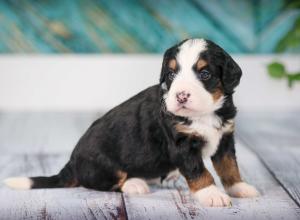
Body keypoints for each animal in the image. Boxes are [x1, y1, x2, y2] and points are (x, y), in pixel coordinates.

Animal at [3, 38, 258, 207]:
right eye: (171, 74)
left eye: (205, 74)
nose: (181, 96)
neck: (204, 114)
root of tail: (72, 162)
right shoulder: (181, 145)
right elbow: (199, 171)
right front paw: (211, 194)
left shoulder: (225, 137)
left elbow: (229, 166)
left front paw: (240, 187)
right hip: (106, 166)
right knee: (109, 182)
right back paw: (135, 184)